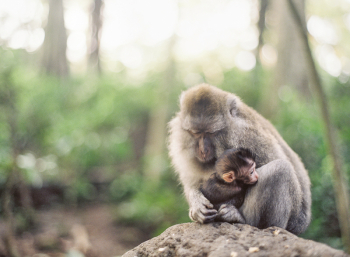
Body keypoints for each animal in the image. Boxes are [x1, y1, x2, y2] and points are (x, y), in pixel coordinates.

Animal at [168, 83, 310, 233]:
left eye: (210, 133)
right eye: (195, 133)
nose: (203, 150)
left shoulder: (248, 137)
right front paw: (196, 204)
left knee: (281, 169)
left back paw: (246, 220)